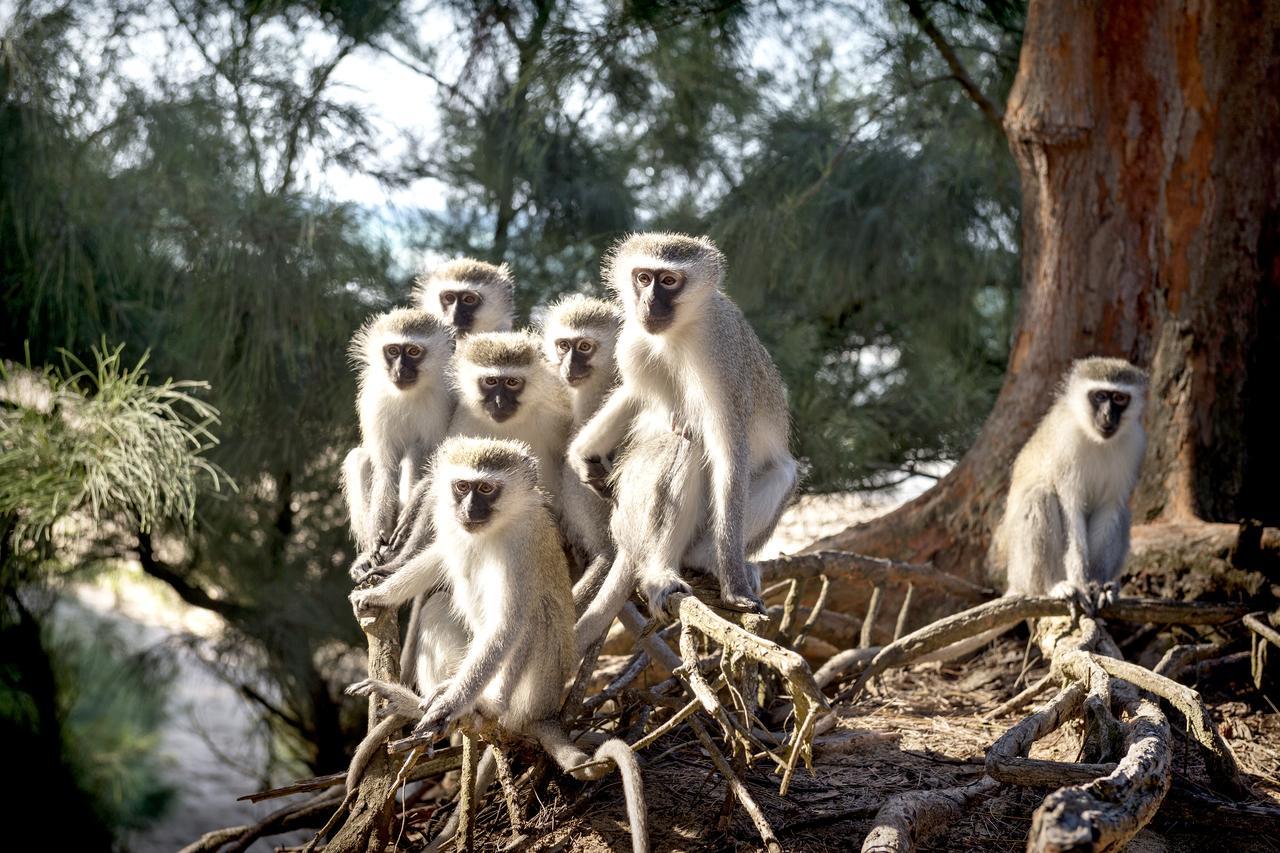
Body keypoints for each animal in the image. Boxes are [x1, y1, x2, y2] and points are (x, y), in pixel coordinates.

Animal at [340, 306, 455, 558]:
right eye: (392, 351)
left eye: (413, 351)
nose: (400, 370)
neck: (407, 394)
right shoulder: (374, 400)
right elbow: (385, 467)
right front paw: (377, 533)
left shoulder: (445, 399)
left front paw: (410, 514)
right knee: (359, 459)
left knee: (415, 451)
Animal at [345, 438, 645, 850]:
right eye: (462, 486)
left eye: (487, 489)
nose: (471, 509)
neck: (491, 530)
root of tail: (546, 706)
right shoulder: (451, 525)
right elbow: (438, 555)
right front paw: (379, 592)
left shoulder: (522, 548)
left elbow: (507, 626)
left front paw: (449, 706)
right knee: (436, 607)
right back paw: (420, 702)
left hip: (536, 686)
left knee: (532, 619)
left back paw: (486, 706)